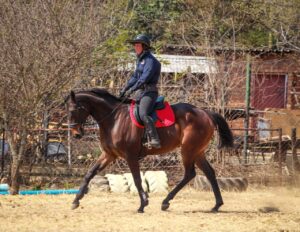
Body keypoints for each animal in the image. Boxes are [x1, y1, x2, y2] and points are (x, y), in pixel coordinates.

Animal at [65, 88, 233, 213]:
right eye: (68, 111)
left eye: (75, 110)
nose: (76, 134)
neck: (114, 119)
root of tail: (205, 112)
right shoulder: (109, 155)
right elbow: (90, 173)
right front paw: (75, 201)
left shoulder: (130, 156)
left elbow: (137, 179)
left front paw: (142, 204)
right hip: (197, 151)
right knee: (209, 172)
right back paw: (216, 205)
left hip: (188, 150)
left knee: (189, 173)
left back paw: (166, 202)